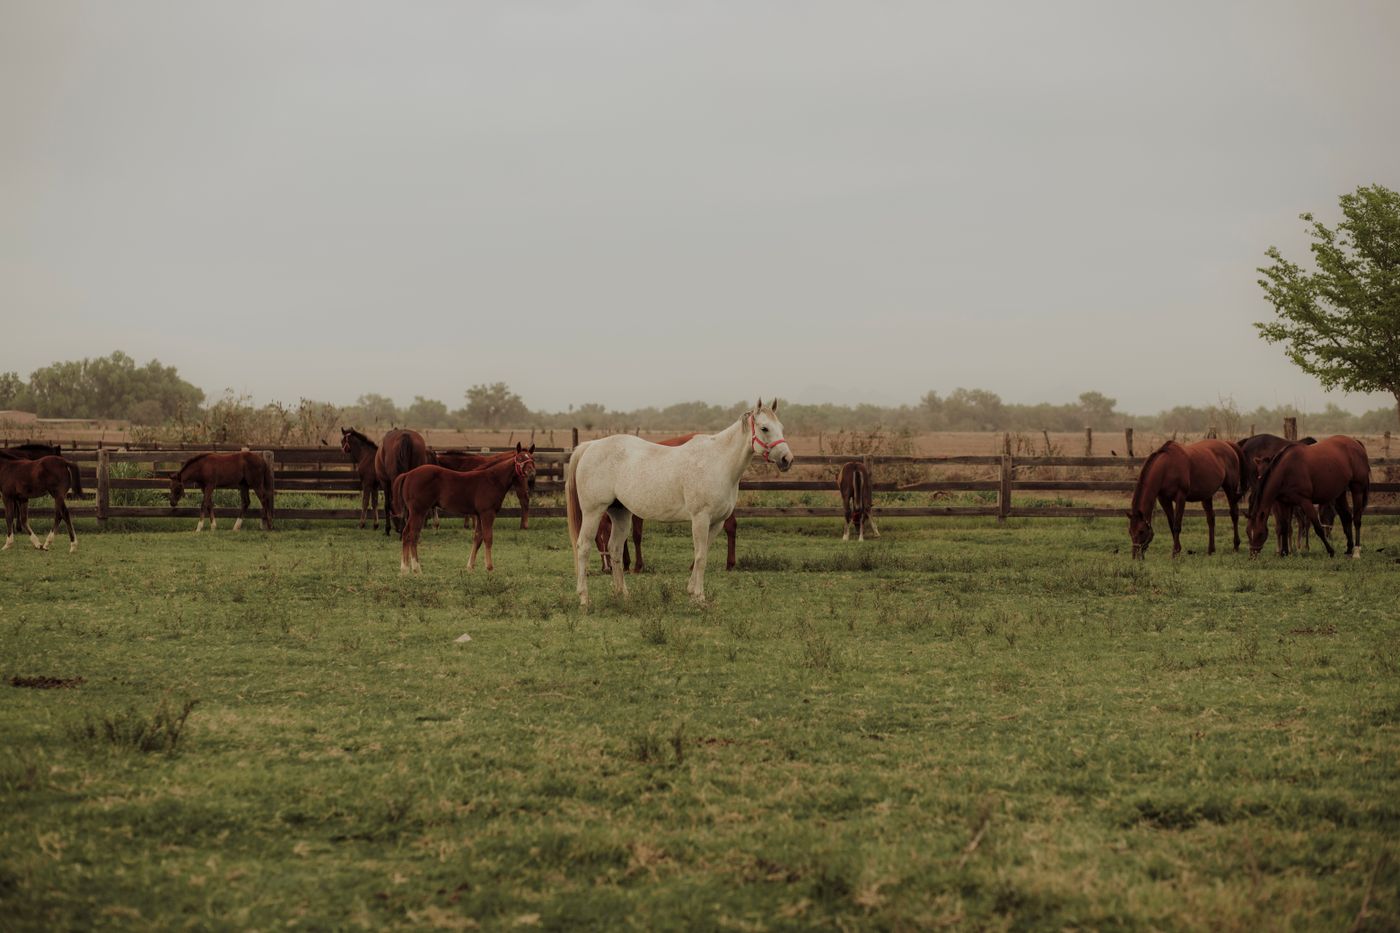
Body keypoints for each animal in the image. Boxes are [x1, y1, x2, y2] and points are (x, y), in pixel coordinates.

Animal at [393, 444, 535, 573]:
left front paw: (470, 566)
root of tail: (408, 474)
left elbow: (477, 538)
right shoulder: (487, 513)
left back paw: (404, 569)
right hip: (418, 511)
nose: (531, 472)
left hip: (414, 512)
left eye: (531, 458)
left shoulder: (479, 514)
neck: (492, 479)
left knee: (406, 533)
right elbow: (488, 538)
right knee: (412, 535)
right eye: (520, 458)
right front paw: (490, 567)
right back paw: (416, 569)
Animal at [594, 433, 737, 574]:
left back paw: (727, 564)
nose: (606, 568)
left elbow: (636, 536)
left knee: (729, 527)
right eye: (596, 539)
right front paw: (626, 565)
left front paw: (637, 566)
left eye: (605, 537)